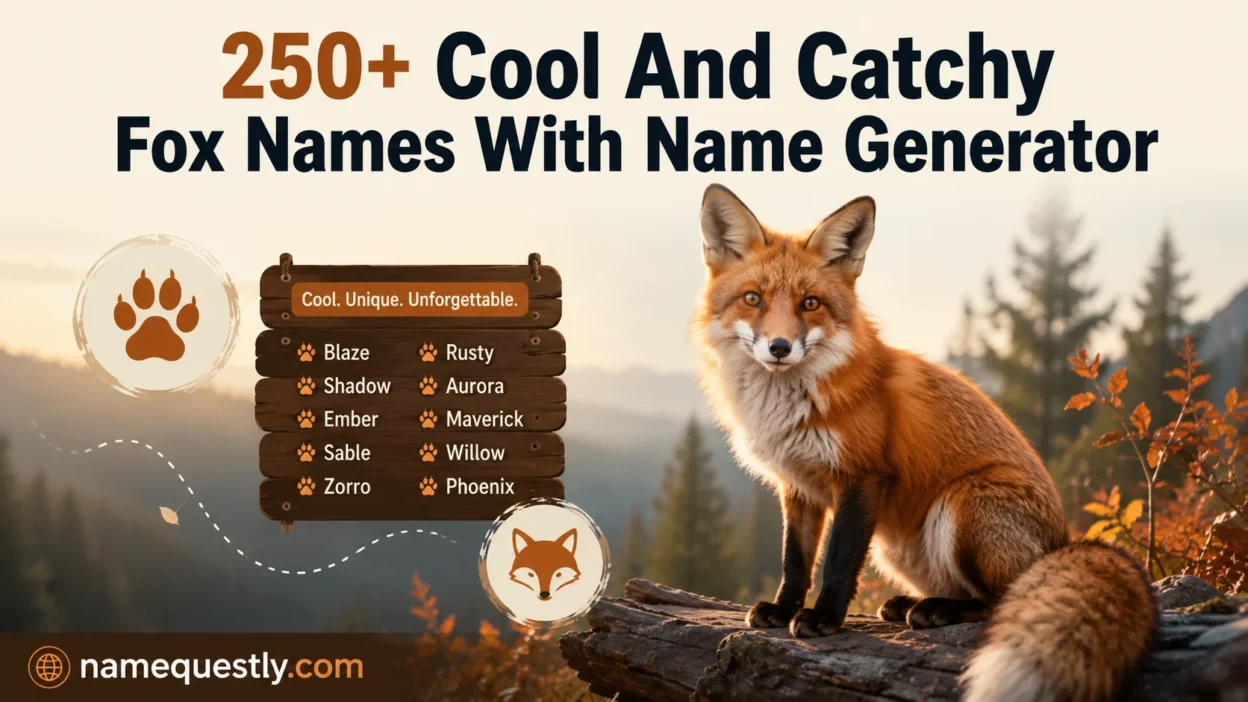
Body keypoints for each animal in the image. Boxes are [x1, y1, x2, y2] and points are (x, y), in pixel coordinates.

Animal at [693, 184, 1156, 702]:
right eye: (753, 298)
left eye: (810, 303)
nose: (779, 347)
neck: (790, 404)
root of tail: (1062, 542)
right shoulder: (797, 486)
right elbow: (795, 559)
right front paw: (783, 608)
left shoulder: (862, 476)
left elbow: (837, 559)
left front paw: (823, 618)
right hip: (897, 548)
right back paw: (912, 603)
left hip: (961, 505)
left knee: (1002, 598)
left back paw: (937, 610)